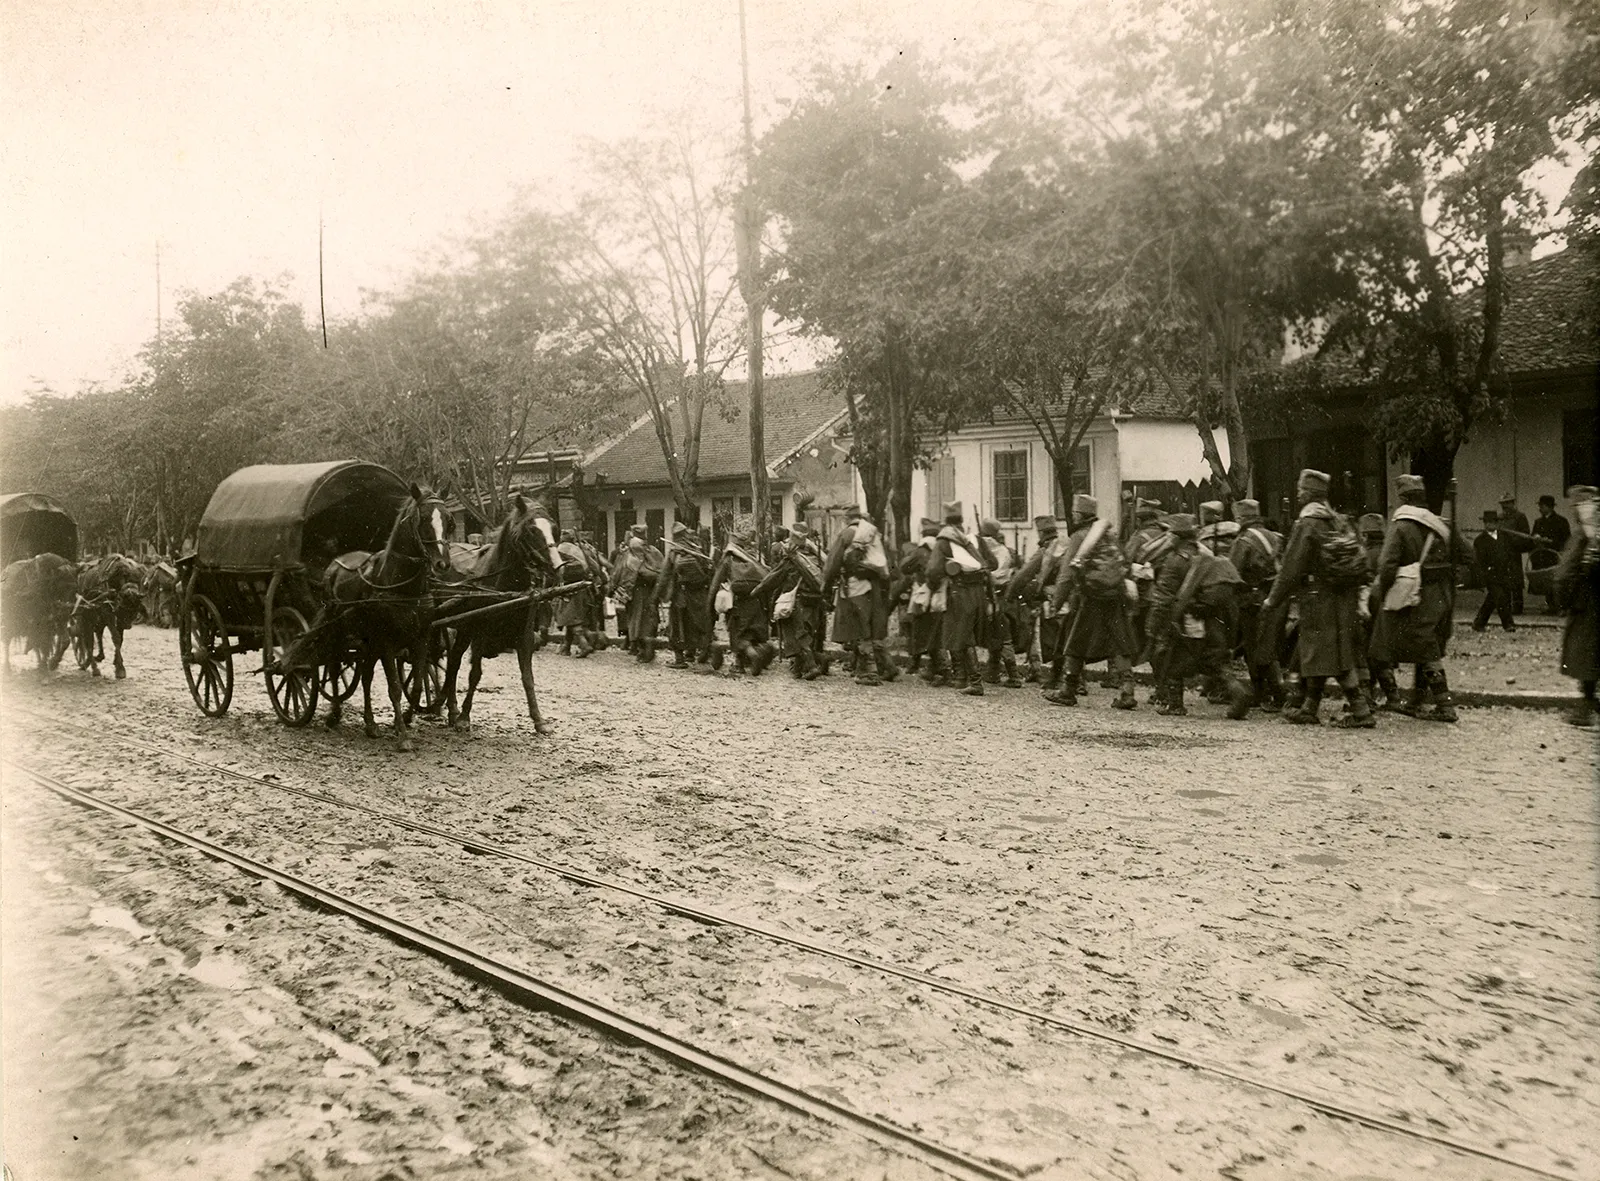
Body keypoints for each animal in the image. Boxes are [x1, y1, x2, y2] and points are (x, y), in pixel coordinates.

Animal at [315, 483, 451, 748]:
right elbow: (395, 688)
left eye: (448, 520)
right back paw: (334, 713)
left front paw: (405, 720)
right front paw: (403, 736)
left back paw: (370, 724)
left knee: (366, 676)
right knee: (334, 668)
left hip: (369, 641)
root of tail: (335, 564)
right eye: (424, 519)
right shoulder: (387, 641)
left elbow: (416, 685)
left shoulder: (420, 639)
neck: (403, 586)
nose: (443, 564)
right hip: (339, 633)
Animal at [438, 492, 563, 732]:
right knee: (453, 663)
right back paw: (452, 710)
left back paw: (449, 708)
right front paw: (465, 716)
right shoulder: (479, 634)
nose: (557, 568)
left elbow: (528, 677)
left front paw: (539, 719)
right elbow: (475, 674)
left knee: (452, 662)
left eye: (554, 528)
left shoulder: (524, 636)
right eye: (532, 530)